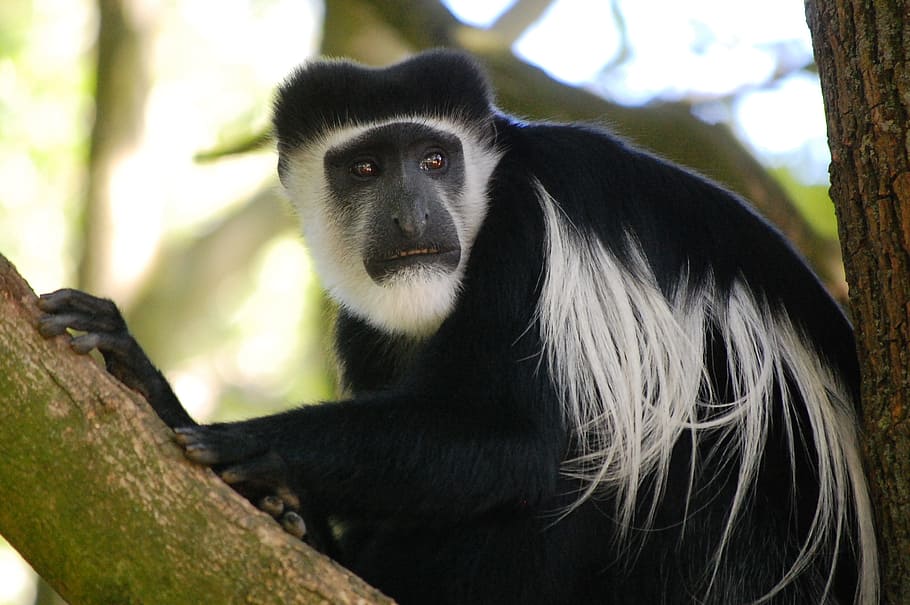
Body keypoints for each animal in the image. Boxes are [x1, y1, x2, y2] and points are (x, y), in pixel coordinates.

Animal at [39, 49, 877, 604]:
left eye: (435, 159)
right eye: (366, 168)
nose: (413, 216)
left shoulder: (527, 234)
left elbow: (525, 442)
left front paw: (236, 436)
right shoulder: (364, 325)